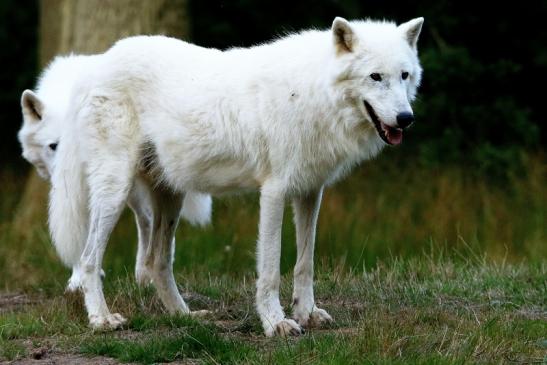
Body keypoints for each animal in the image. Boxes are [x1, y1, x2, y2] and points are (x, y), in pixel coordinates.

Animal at [20, 16, 424, 336]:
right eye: (375, 77)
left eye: (404, 76)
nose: (406, 119)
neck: (313, 91)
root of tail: (94, 66)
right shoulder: (274, 192)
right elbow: (271, 267)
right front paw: (275, 323)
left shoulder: (311, 191)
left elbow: (304, 264)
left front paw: (307, 314)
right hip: (114, 193)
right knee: (90, 259)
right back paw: (102, 320)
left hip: (171, 197)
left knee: (156, 263)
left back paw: (185, 317)